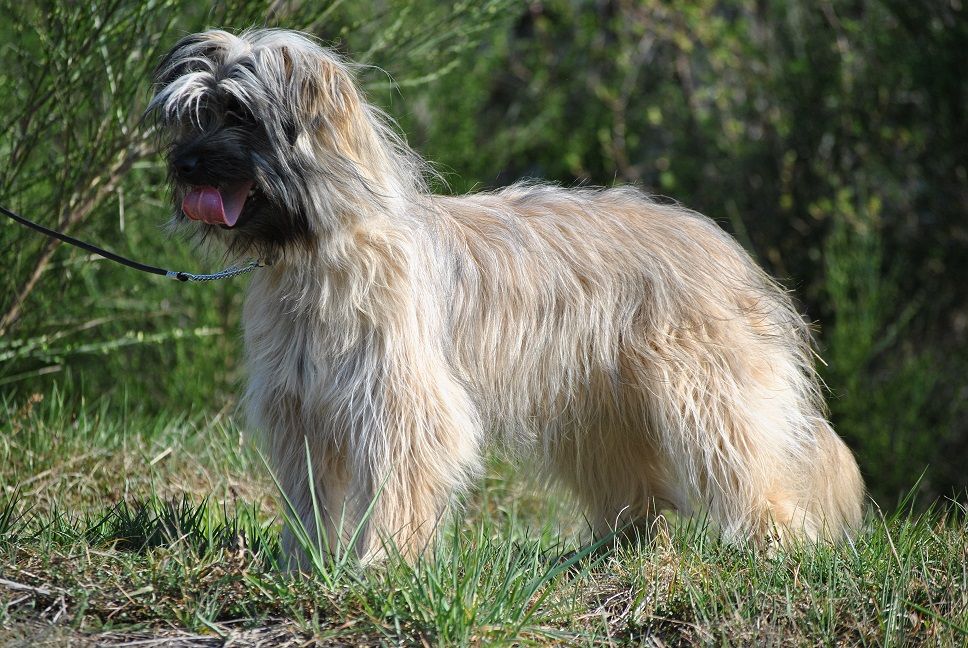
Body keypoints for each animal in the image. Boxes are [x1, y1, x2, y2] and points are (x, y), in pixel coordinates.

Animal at [149, 29, 864, 560]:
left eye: (239, 114)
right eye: (193, 116)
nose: (183, 166)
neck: (323, 248)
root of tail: (727, 250)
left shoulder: (401, 402)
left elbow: (401, 481)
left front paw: (380, 567)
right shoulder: (301, 408)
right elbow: (310, 498)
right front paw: (309, 568)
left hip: (706, 396)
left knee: (748, 468)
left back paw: (779, 546)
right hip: (603, 412)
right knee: (637, 490)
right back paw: (610, 553)